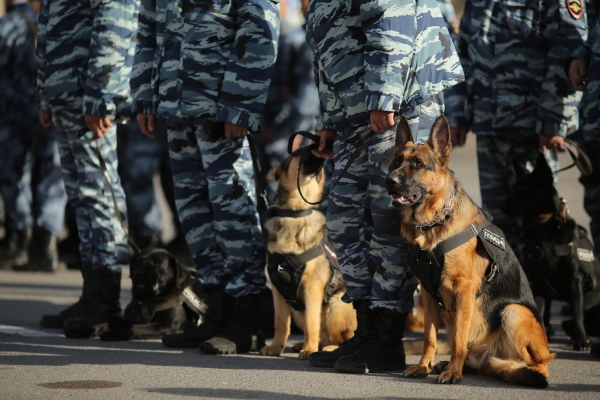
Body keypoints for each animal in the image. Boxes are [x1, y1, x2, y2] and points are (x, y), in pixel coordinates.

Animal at [260, 152, 358, 360]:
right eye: (298, 153)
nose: (325, 154)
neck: (295, 214)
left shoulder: (312, 288)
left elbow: (311, 323)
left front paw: (309, 349)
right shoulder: (278, 290)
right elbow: (280, 323)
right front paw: (276, 347)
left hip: (336, 307)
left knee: (344, 338)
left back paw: (328, 349)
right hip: (299, 311)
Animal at [386, 116, 556, 388]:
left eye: (418, 164)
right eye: (396, 161)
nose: (389, 181)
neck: (435, 223)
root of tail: (487, 358)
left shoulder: (464, 290)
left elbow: (457, 340)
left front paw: (453, 373)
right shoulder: (428, 293)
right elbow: (430, 337)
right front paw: (424, 366)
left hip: (514, 312)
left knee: (539, 364)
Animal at [504, 153, 600, 350]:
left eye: (525, 188)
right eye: (514, 187)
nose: (502, 205)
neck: (545, 228)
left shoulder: (574, 281)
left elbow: (577, 313)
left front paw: (581, 340)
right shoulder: (538, 282)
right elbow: (539, 313)